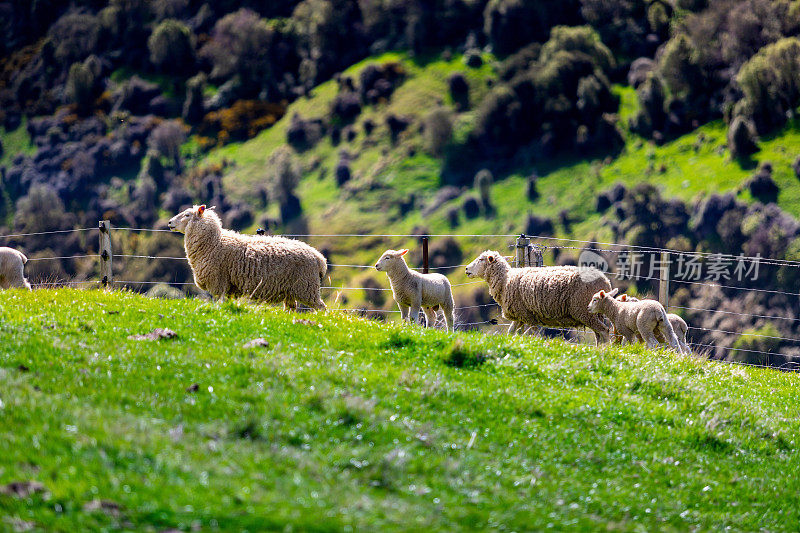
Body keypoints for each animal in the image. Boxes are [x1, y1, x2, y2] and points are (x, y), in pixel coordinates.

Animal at [169, 205, 328, 312]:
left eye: (187, 214)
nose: (170, 222)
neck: (214, 242)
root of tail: (319, 258)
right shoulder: (229, 287)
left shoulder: (218, 282)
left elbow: (218, 302)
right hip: (291, 289)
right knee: (291, 308)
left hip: (306, 286)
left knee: (321, 307)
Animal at [462, 248, 612, 342]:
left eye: (481, 259)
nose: (467, 269)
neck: (505, 280)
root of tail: (606, 282)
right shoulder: (520, 315)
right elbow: (511, 332)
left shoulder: (527, 314)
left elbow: (533, 334)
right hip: (595, 312)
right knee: (599, 334)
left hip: (583, 309)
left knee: (604, 331)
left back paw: (603, 351)